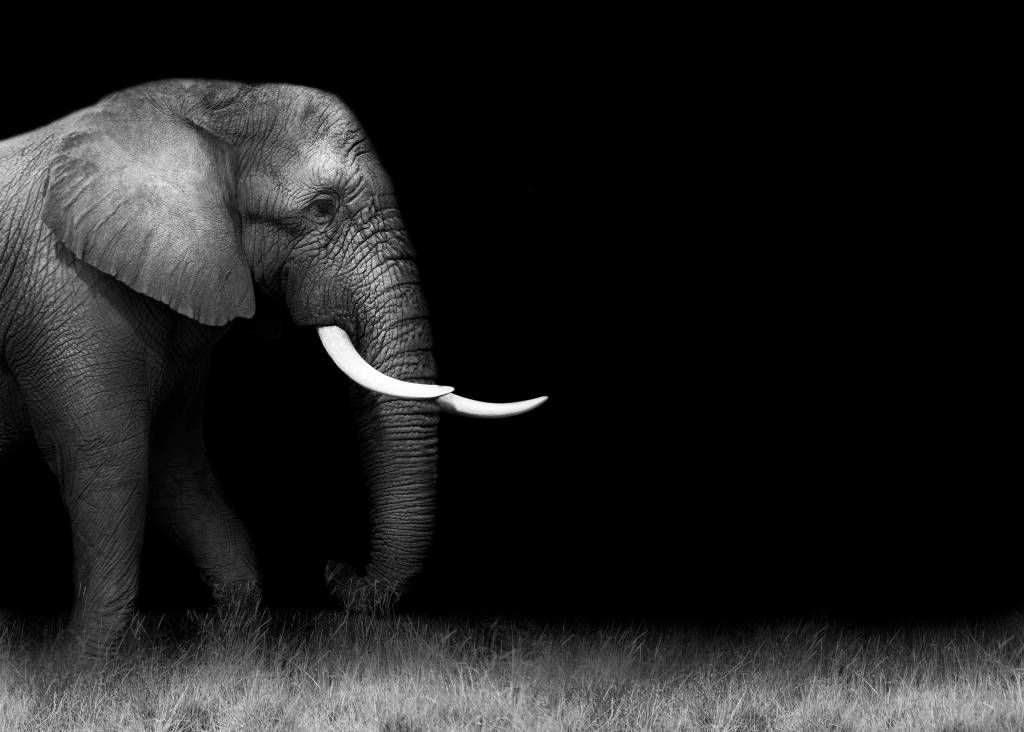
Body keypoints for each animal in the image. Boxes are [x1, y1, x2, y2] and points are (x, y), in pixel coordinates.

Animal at [0, 79, 545, 653]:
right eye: (324, 207)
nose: (336, 566)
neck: (201, 106)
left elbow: (176, 463)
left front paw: (230, 646)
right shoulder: (68, 291)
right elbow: (108, 458)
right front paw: (80, 662)